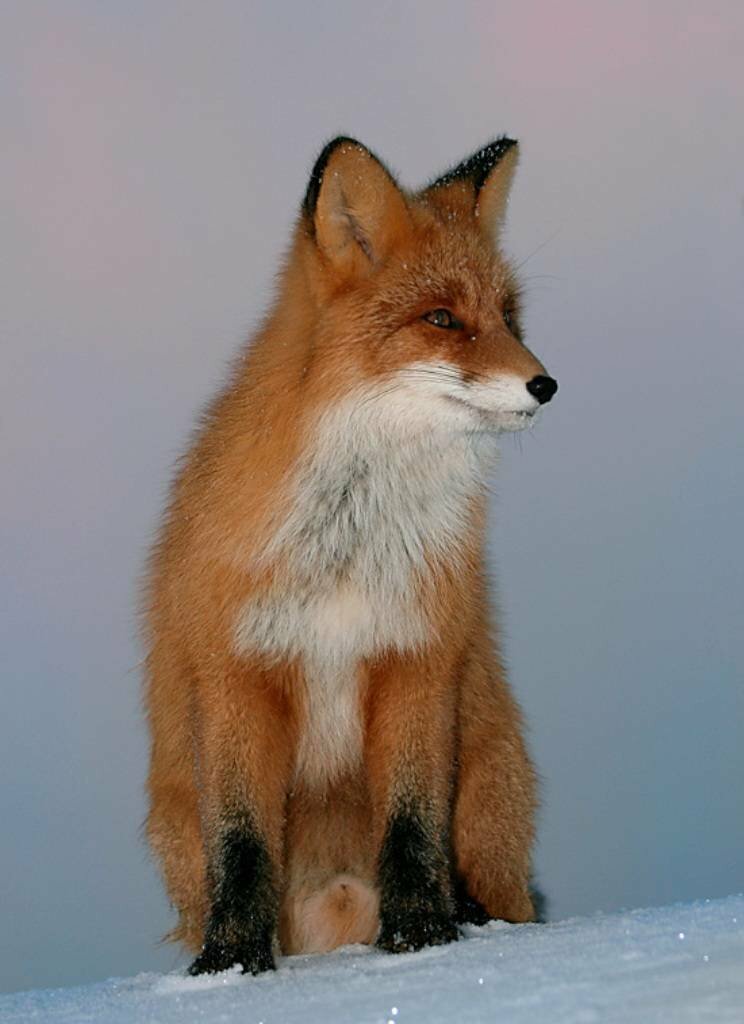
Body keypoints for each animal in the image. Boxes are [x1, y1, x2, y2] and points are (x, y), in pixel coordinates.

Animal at [143, 135, 557, 976]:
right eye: (442, 318)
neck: (346, 545)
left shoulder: (415, 659)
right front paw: (231, 966)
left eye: (508, 316)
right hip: (174, 822)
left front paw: (423, 937)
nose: (545, 383)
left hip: (494, 795)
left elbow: (412, 826)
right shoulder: (236, 673)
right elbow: (241, 847)